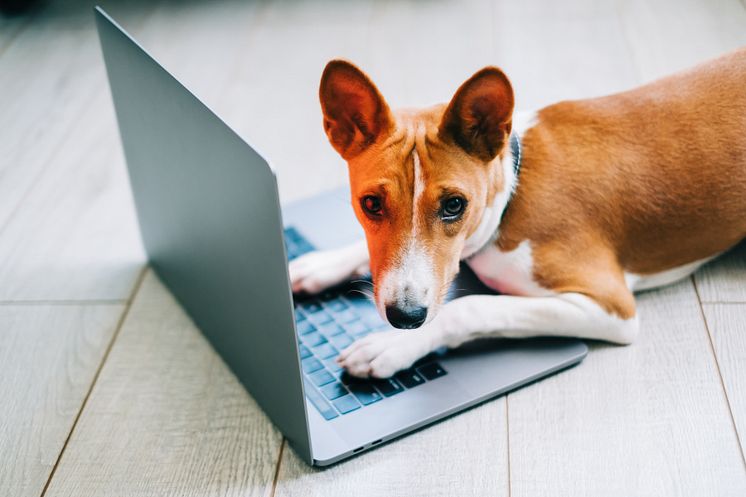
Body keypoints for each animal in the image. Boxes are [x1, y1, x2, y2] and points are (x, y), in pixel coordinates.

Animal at [286, 49, 744, 376]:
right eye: (371, 204)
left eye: (454, 205)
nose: (405, 318)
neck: (510, 195)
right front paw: (319, 263)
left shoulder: (610, 306)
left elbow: (472, 307)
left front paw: (393, 345)